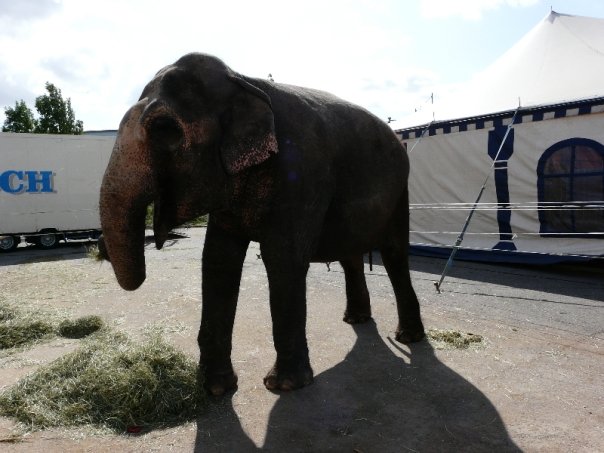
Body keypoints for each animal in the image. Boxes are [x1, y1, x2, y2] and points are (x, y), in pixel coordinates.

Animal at [99, 51, 424, 394]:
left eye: (164, 128)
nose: (100, 248)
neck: (241, 80)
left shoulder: (300, 173)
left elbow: (283, 259)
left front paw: (284, 386)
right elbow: (218, 261)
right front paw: (214, 388)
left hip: (400, 191)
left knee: (394, 255)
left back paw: (408, 337)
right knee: (350, 255)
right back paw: (356, 319)